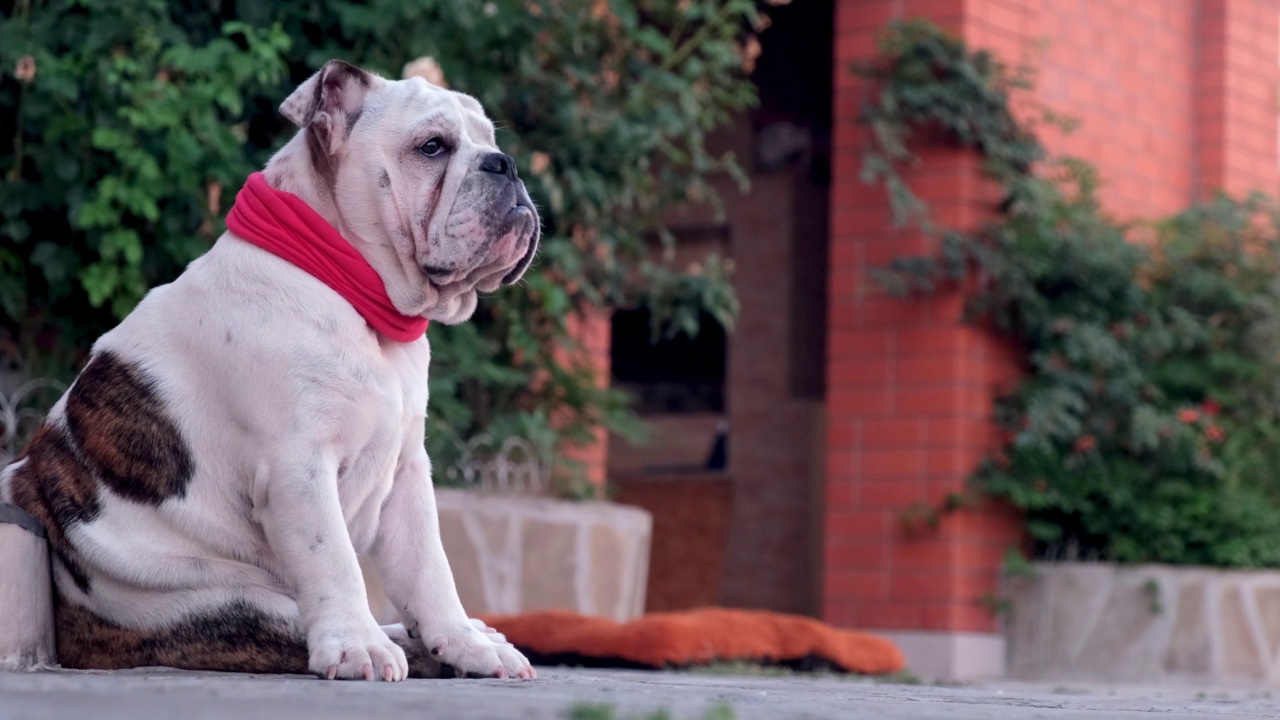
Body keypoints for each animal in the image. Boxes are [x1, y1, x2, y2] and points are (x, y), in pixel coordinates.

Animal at [0, 60, 540, 676]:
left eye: (489, 139)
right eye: (432, 146)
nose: (505, 163)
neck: (354, 291)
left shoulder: (406, 472)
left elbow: (429, 567)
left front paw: (464, 639)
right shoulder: (299, 468)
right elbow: (334, 560)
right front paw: (357, 644)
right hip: (224, 604)